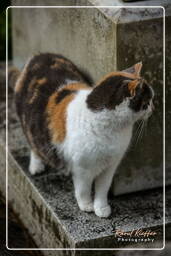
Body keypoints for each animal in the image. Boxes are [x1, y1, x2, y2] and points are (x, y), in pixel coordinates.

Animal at [14, 53, 154, 217]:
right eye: (147, 101)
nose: (153, 108)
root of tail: (40, 55)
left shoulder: (110, 165)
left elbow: (103, 188)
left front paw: (101, 208)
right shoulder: (82, 168)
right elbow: (83, 189)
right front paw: (86, 205)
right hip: (28, 122)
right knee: (33, 142)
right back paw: (36, 166)